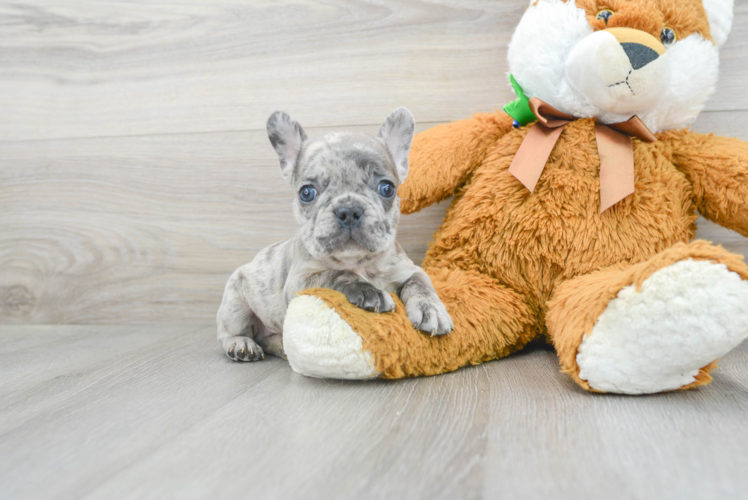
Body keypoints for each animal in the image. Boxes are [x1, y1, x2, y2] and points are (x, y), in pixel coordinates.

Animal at [213, 107, 452, 362]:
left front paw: (431, 309)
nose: (349, 210)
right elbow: (336, 275)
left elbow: (421, 285)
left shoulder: (409, 269)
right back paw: (241, 344)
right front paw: (368, 291)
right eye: (307, 192)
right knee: (230, 332)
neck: (358, 262)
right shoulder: (301, 280)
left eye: (387, 188)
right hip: (235, 304)